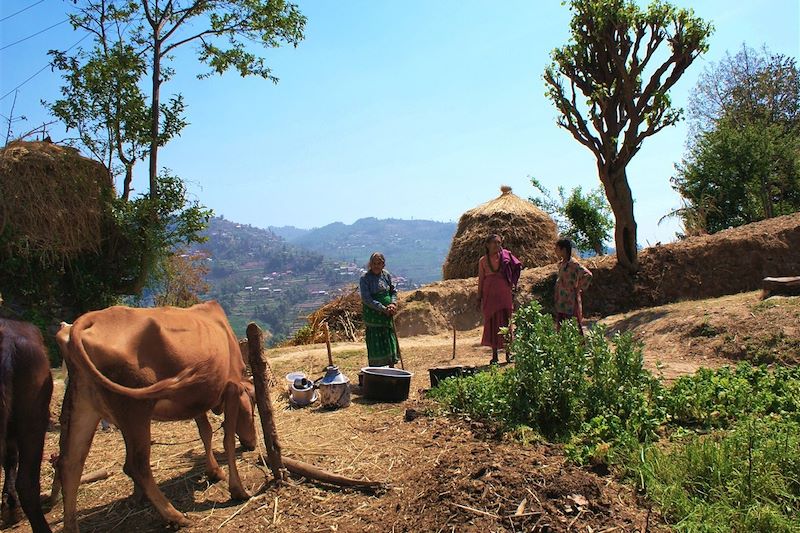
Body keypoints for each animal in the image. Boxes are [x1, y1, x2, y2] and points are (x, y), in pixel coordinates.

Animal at [56, 302, 256, 528]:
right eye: (253, 406)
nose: (252, 443)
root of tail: (84, 321)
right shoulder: (231, 387)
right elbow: (227, 438)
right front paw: (238, 489)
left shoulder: (196, 400)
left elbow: (206, 432)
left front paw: (214, 471)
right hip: (135, 408)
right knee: (135, 465)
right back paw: (175, 515)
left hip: (84, 407)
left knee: (69, 465)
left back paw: (72, 525)